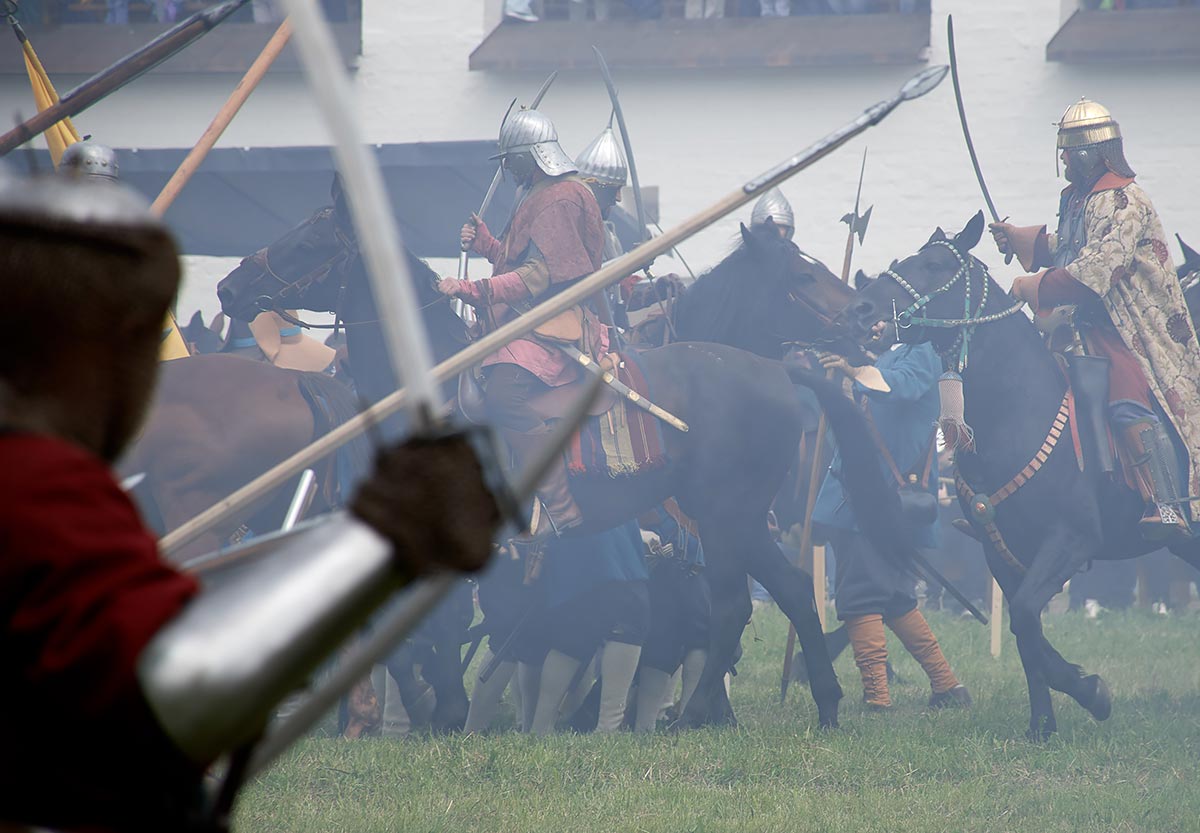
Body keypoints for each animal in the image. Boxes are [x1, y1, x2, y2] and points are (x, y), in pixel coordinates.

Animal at [216, 200, 902, 733]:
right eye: (802, 275)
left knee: (733, 604)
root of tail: (777, 370)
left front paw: (445, 711)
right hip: (738, 519)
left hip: (724, 514)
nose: (228, 289)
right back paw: (822, 706)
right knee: (787, 589)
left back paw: (693, 714)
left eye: (309, 241)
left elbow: (443, 628)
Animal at [840, 211, 1200, 740]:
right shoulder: (1001, 553)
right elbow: (1025, 632)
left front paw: (1089, 691)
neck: (1016, 407)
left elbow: (1027, 620)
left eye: (935, 264)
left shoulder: (1070, 541)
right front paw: (1045, 724)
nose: (860, 310)